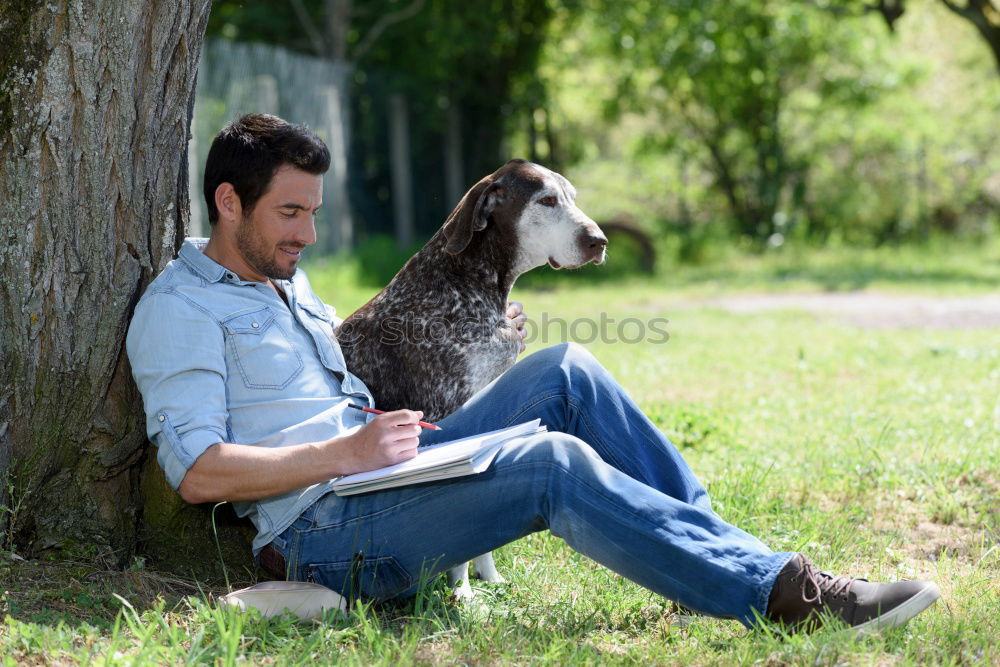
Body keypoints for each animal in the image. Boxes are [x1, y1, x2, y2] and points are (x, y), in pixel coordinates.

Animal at [336, 160, 604, 600]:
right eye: (547, 201)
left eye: (572, 198)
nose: (600, 241)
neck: (468, 283)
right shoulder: (445, 415)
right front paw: (463, 592)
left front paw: (489, 577)